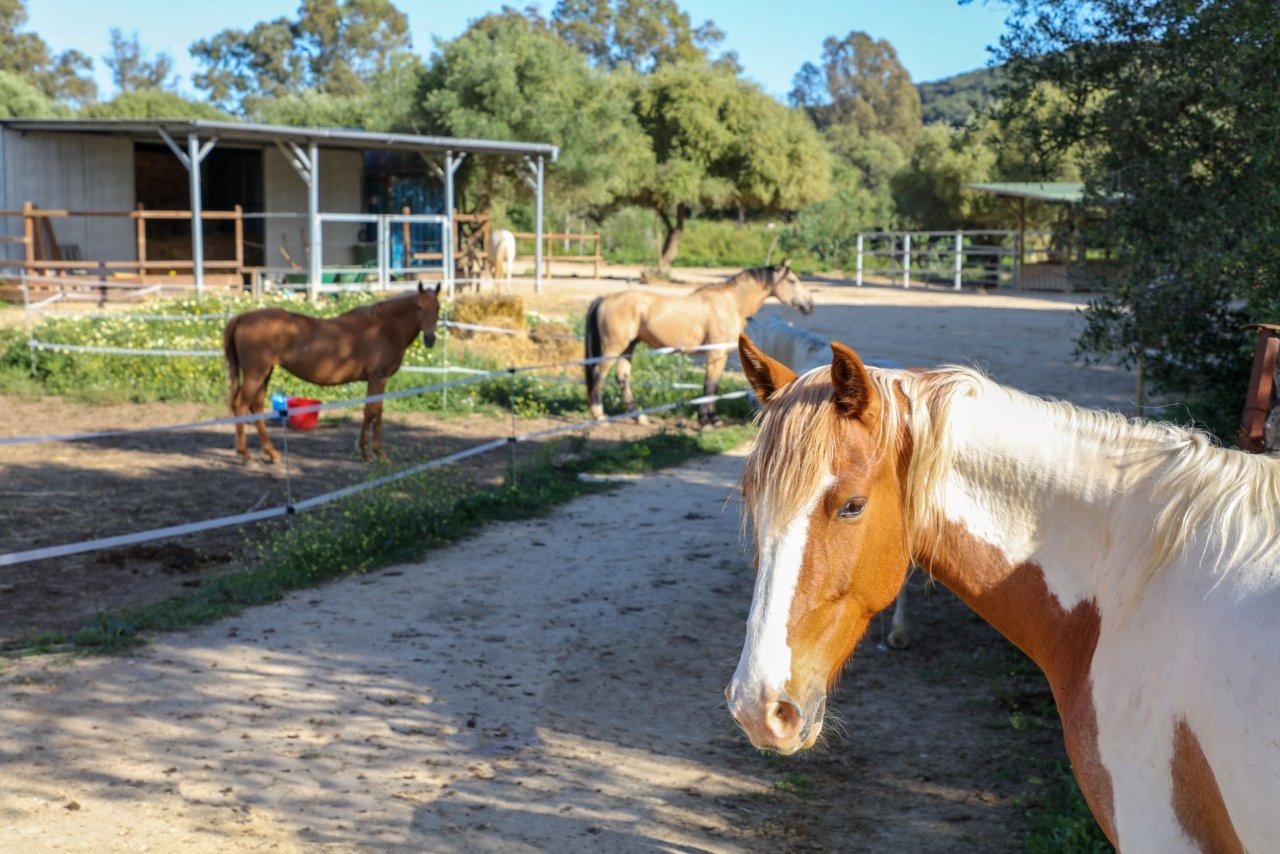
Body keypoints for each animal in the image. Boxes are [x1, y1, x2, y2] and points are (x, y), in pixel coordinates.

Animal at [221, 284, 440, 463]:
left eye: (437, 308)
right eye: (419, 307)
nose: (430, 339)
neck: (384, 327)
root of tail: (242, 317)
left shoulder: (372, 380)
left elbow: (368, 411)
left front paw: (364, 451)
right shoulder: (379, 377)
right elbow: (375, 412)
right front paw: (378, 453)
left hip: (264, 374)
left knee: (255, 406)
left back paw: (272, 453)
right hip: (256, 373)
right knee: (241, 405)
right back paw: (246, 455)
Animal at [586, 257, 814, 425]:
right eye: (792, 281)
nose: (809, 305)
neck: (732, 303)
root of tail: (604, 298)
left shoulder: (719, 356)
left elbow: (714, 385)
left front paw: (711, 418)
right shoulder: (715, 354)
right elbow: (710, 386)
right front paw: (707, 420)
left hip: (629, 346)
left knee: (622, 377)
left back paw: (638, 417)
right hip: (614, 347)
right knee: (598, 375)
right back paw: (599, 415)